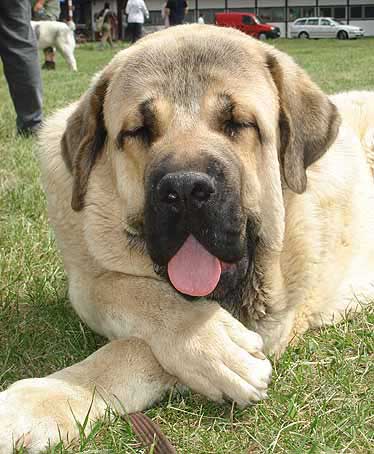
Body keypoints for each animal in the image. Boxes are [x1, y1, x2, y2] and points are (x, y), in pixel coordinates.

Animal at [0, 25, 374, 454]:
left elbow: (134, 349)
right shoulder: (86, 279)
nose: (184, 189)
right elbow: (122, 289)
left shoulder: (272, 323)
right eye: (139, 131)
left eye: (238, 123)